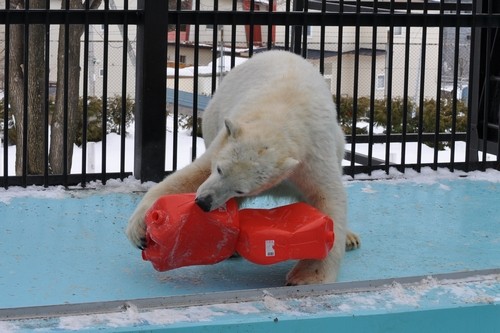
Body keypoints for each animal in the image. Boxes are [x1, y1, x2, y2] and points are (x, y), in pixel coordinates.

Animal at [127, 50, 358, 284]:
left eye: (240, 189)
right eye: (220, 169)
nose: (203, 202)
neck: (279, 117)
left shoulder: (312, 156)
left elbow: (328, 199)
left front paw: (307, 277)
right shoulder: (223, 143)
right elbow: (191, 176)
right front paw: (141, 229)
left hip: (339, 141)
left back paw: (350, 238)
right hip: (213, 117)